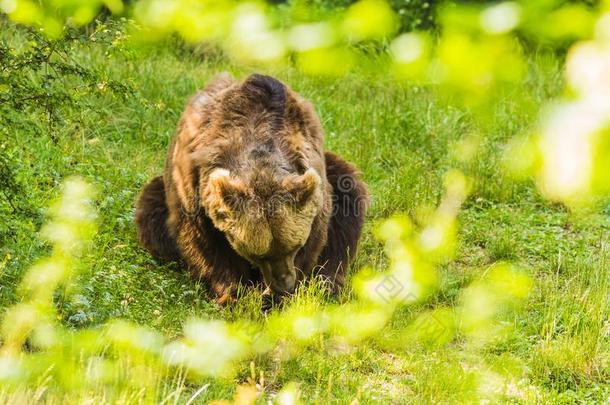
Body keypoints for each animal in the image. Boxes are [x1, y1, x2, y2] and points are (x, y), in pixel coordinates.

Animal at [137, 74, 366, 304]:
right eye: (259, 255)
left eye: (294, 247)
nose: (283, 284)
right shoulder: (193, 185)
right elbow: (205, 244)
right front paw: (232, 293)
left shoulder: (313, 172)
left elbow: (318, 236)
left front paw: (278, 297)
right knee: (152, 211)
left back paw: (327, 284)